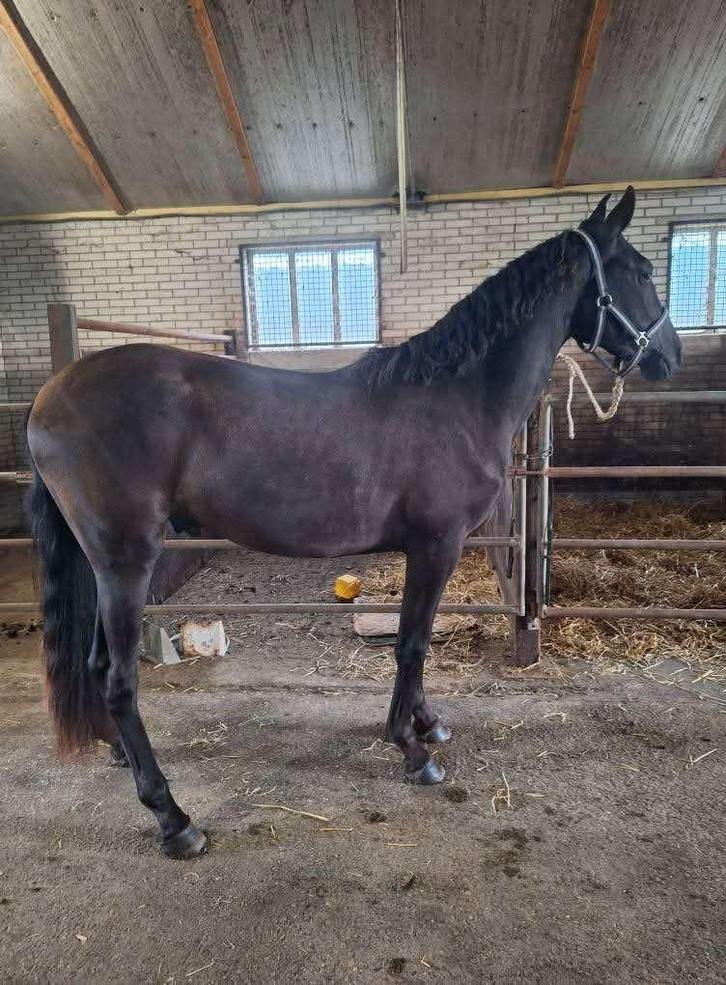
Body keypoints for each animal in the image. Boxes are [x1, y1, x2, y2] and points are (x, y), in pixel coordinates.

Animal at [26, 187, 681, 858]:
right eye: (641, 272)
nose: (670, 356)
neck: (457, 398)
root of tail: (49, 397)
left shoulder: (430, 549)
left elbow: (416, 640)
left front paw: (427, 724)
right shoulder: (436, 545)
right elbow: (412, 642)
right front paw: (411, 748)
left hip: (106, 569)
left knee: (97, 668)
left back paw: (121, 758)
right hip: (127, 565)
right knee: (119, 680)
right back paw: (172, 817)